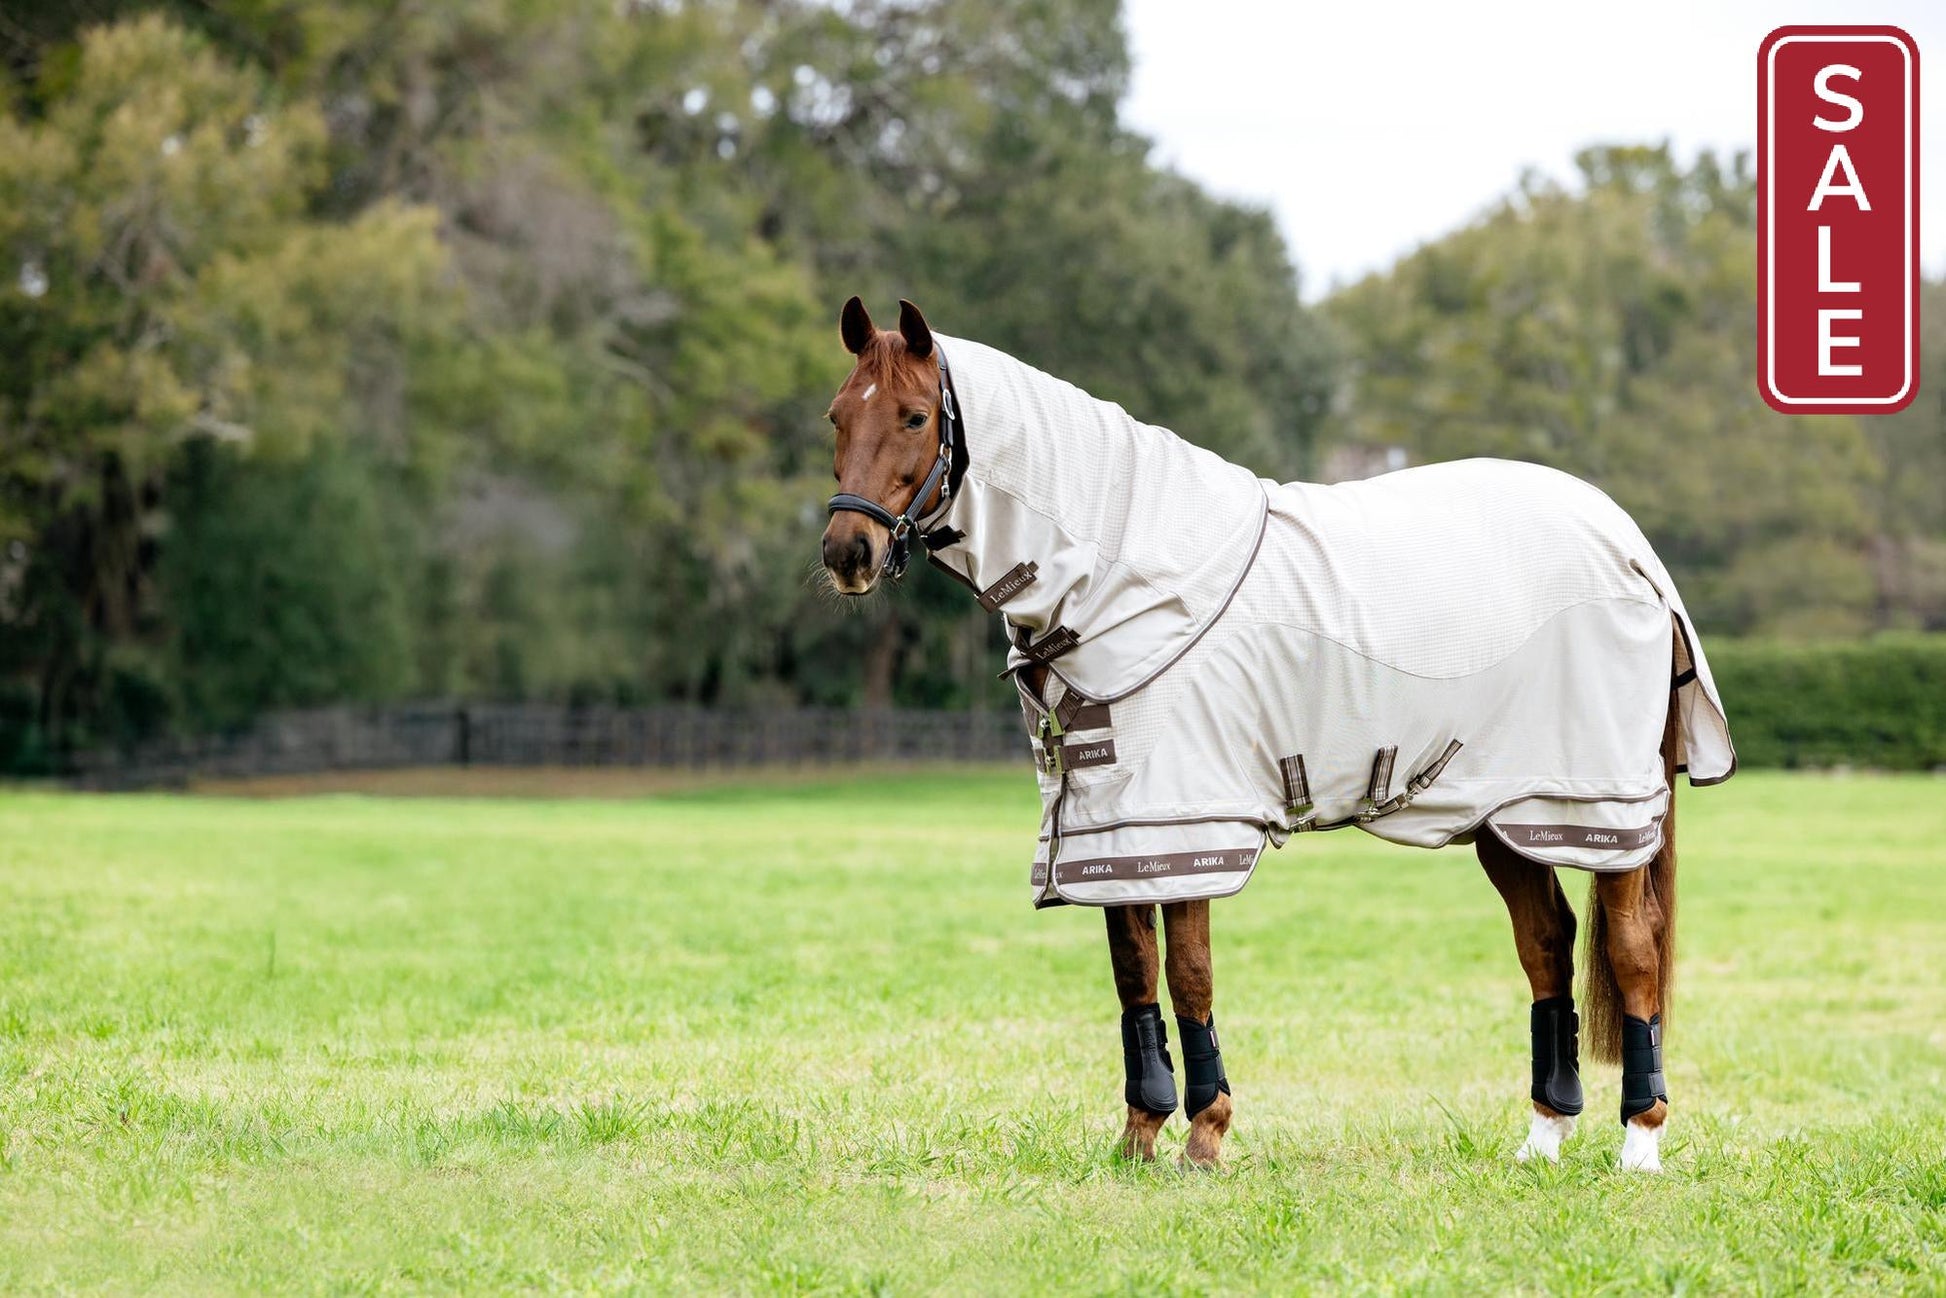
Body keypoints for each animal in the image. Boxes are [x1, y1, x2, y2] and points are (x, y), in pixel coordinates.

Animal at [818, 296, 1734, 1172]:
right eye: (835, 415)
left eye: (913, 416)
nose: (846, 552)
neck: (1122, 572)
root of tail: (1633, 552)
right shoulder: (1114, 828)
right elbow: (1133, 976)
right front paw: (1140, 1136)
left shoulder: (1190, 821)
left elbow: (1188, 973)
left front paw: (1205, 1135)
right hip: (1504, 813)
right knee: (1547, 945)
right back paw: (1543, 1136)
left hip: (1599, 810)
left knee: (1633, 950)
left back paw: (1640, 1142)